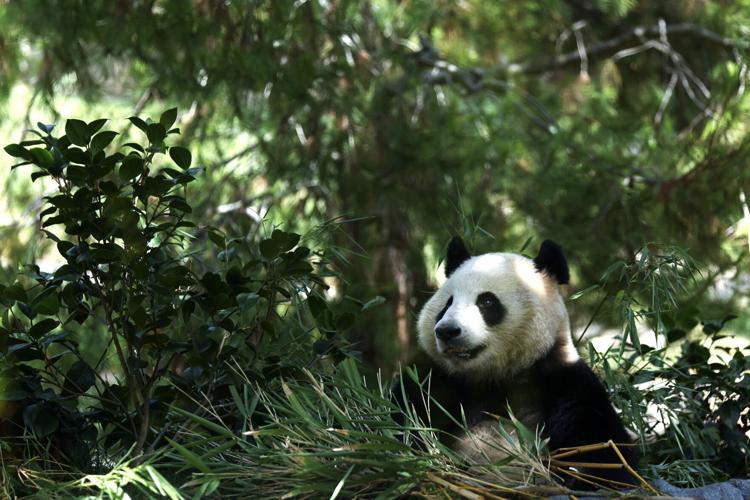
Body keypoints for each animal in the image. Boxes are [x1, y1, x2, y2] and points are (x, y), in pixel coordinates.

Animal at [396, 237, 637, 489]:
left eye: (487, 301)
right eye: (447, 303)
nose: (447, 331)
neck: (495, 376)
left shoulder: (565, 382)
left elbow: (606, 457)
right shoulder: (435, 381)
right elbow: (401, 419)